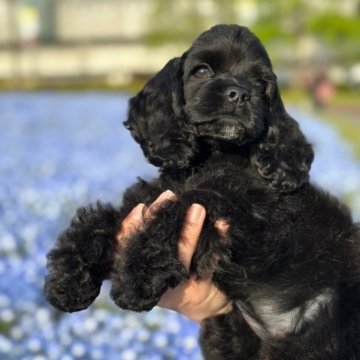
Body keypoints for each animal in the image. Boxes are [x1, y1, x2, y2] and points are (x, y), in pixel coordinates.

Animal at [45, 24, 360, 358]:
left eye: (261, 83)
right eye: (201, 71)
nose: (240, 94)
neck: (212, 157)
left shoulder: (244, 218)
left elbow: (176, 210)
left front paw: (136, 280)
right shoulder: (149, 197)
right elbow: (102, 218)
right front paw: (68, 282)